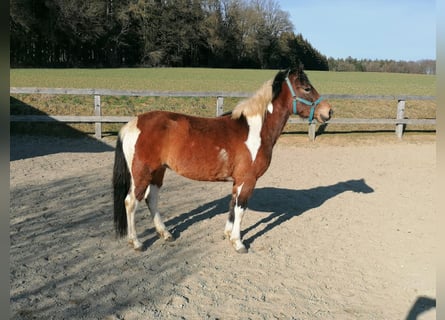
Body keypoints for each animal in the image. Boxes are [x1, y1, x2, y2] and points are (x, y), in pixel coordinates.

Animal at [112, 67, 332, 252]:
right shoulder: (248, 179)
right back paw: (136, 242)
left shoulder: (238, 180)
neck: (255, 129)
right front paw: (238, 242)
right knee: (131, 202)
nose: (328, 111)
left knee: (152, 199)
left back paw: (165, 234)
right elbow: (241, 208)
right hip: (142, 173)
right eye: (306, 88)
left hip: (158, 171)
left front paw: (228, 234)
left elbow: (232, 205)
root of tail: (131, 124)